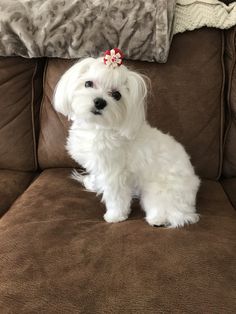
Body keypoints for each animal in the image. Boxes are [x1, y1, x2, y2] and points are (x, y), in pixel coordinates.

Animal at [54, 47, 200, 227]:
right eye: (88, 83)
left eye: (117, 95)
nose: (100, 102)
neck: (99, 128)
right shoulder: (98, 164)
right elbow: (97, 177)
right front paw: (92, 183)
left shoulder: (115, 174)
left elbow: (116, 197)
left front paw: (115, 216)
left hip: (159, 192)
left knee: (174, 213)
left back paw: (158, 218)